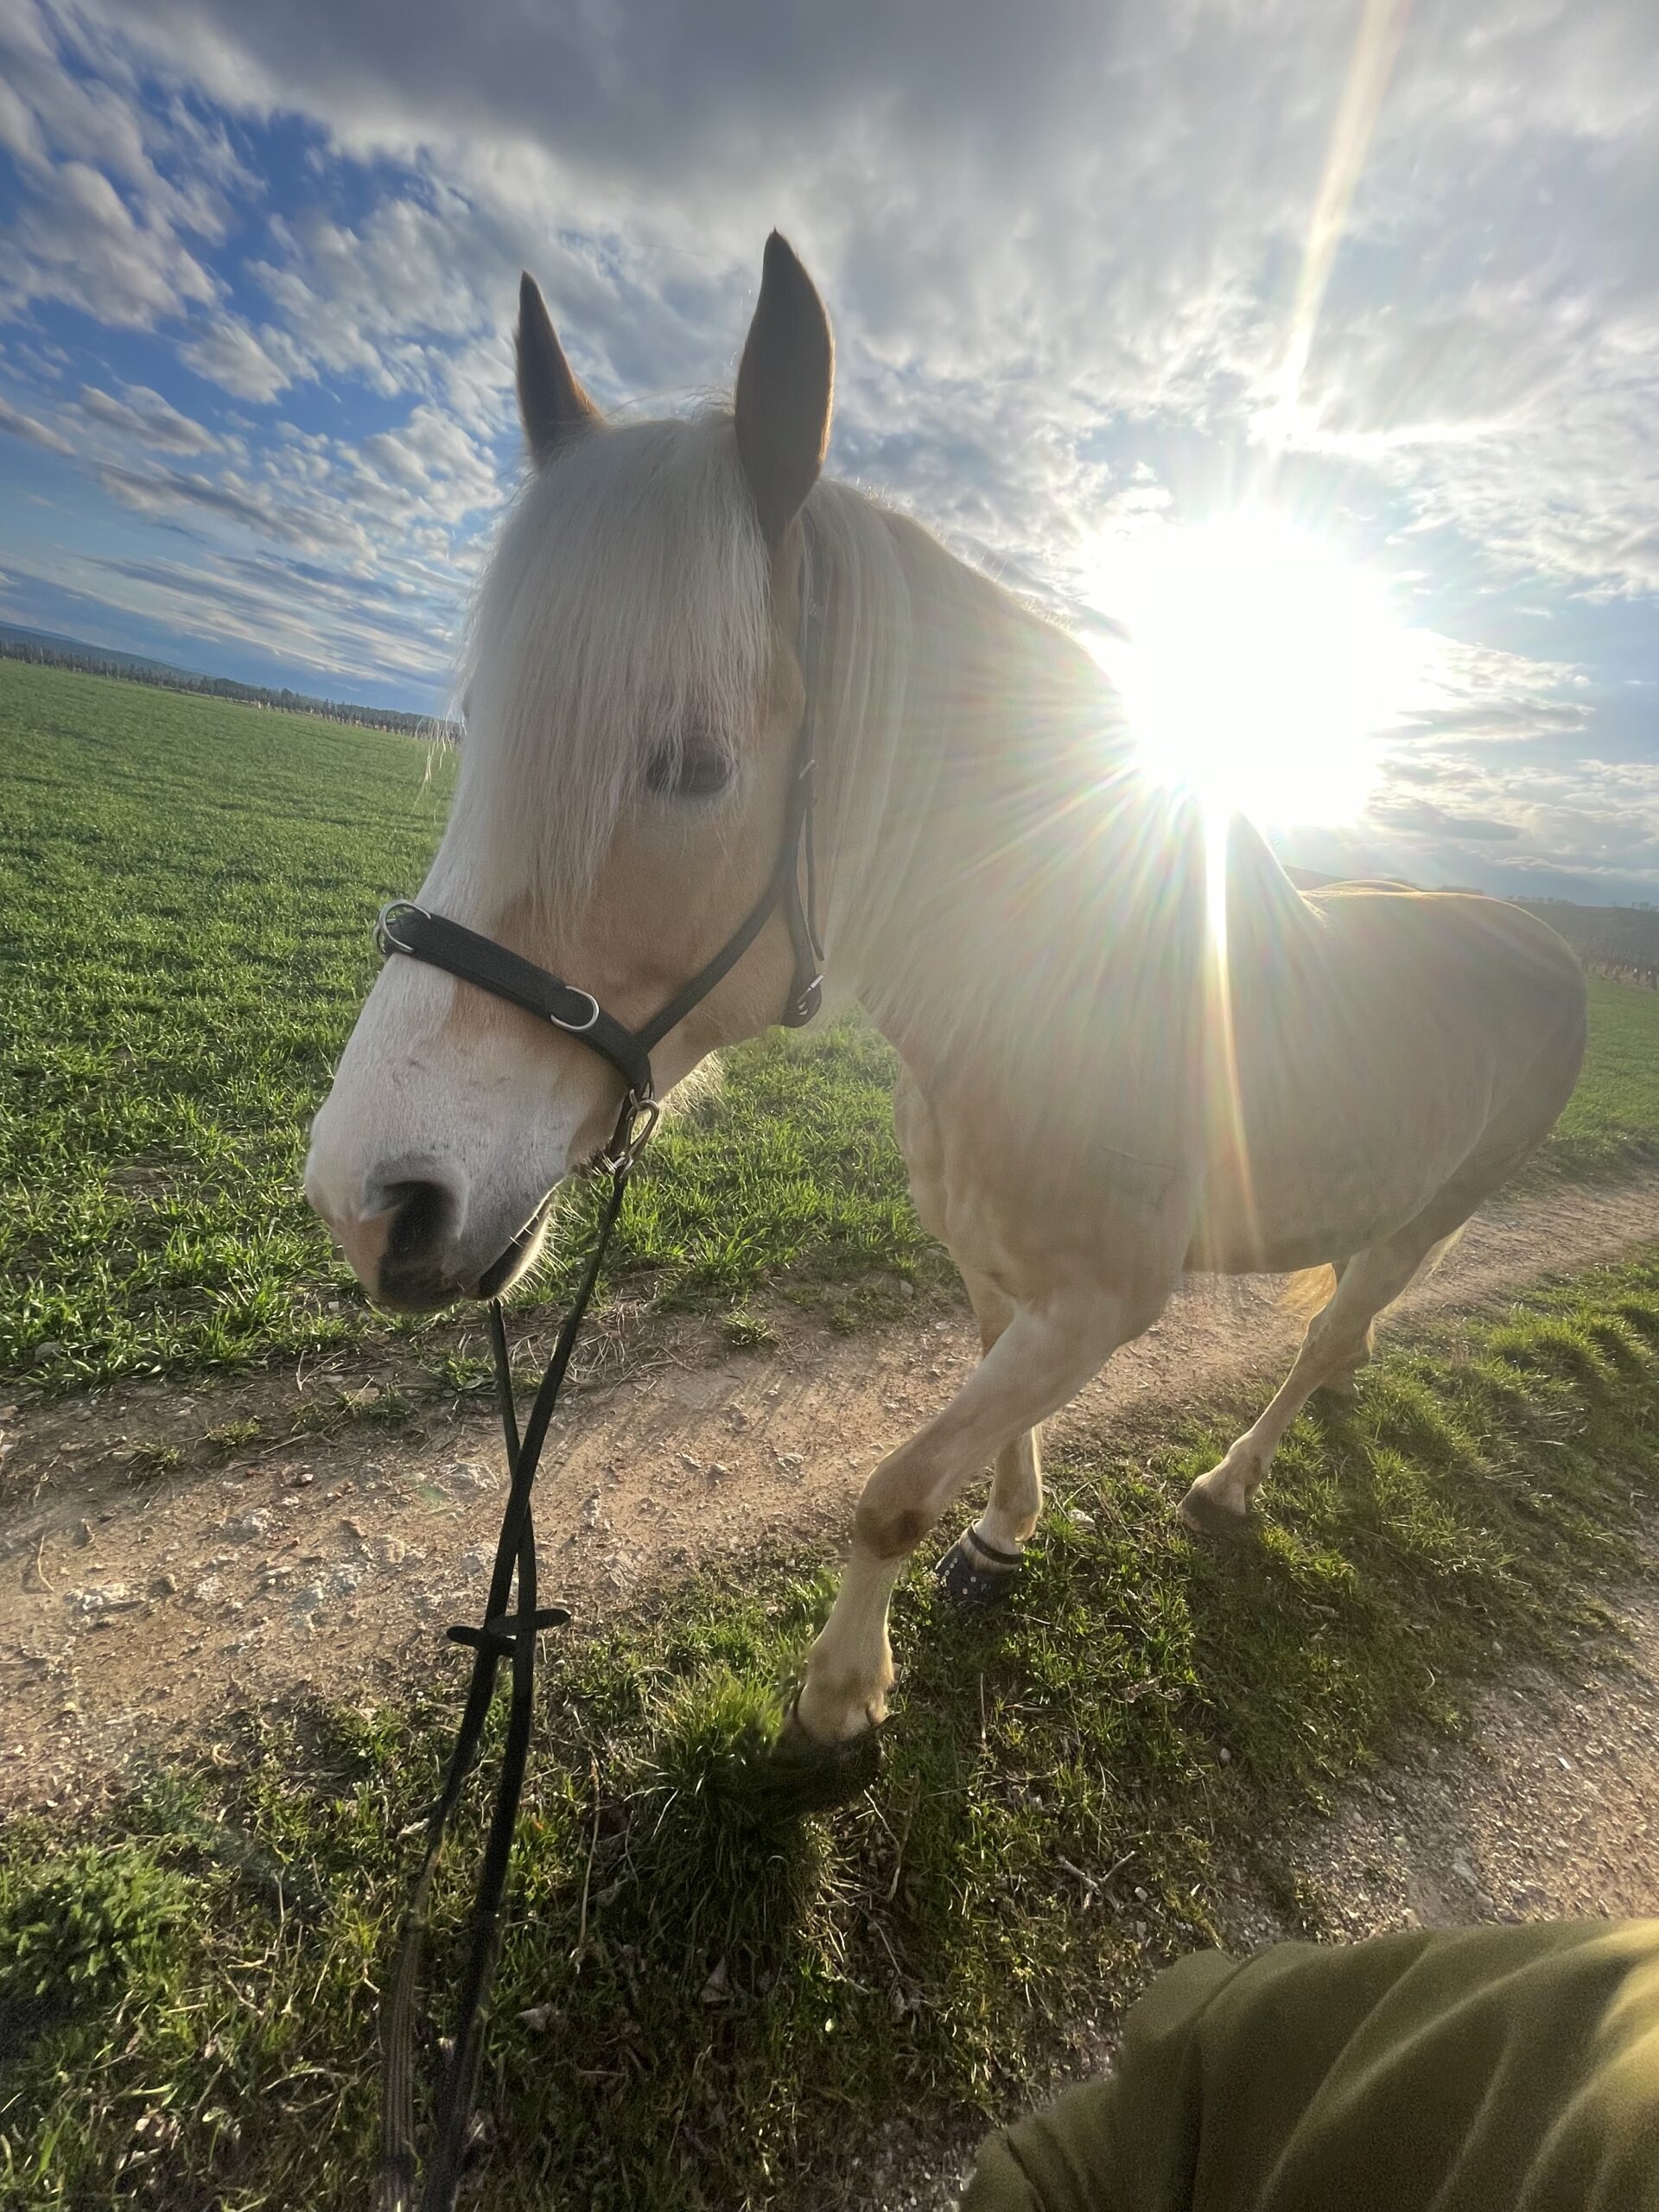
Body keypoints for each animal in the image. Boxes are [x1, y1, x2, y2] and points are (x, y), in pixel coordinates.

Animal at [305, 232, 1588, 1781]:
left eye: (694, 765)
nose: (373, 1201)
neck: (1041, 1006)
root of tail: (1547, 940)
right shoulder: (996, 1267)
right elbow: (977, 1418)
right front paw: (1005, 1533)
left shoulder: (1108, 1300)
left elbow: (892, 1492)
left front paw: (841, 1697)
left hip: (1433, 1212)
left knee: (1326, 1338)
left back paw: (1230, 1486)